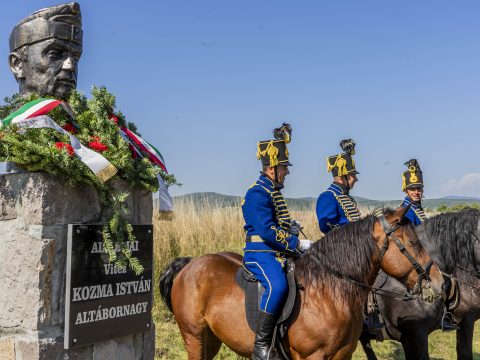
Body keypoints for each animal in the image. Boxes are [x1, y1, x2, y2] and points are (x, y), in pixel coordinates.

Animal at [159, 208, 444, 360]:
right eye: (412, 243)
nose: (439, 282)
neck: (329, 292)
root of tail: (189, 264)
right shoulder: (312, 356)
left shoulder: (343, 354)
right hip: (194, 336)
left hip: (210, 339)